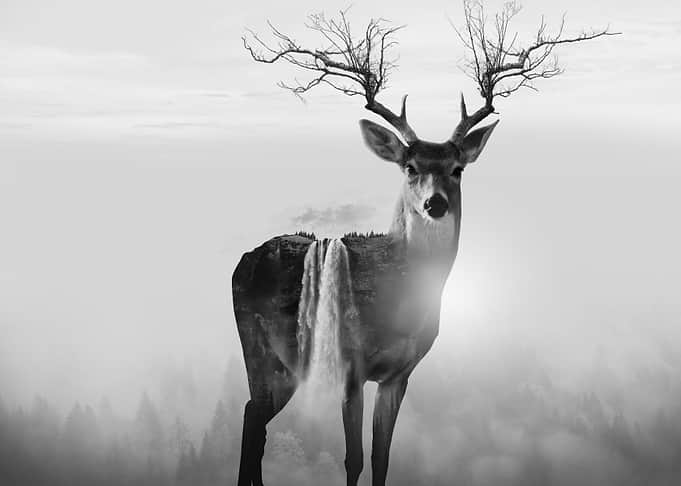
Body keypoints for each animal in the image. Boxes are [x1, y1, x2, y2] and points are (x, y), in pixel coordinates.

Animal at [234, 3, 618, 485]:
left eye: (457, 168)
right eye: (410, 166)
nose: (435, 203)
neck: (400, 302)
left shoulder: (401, 373)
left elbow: (382, 455)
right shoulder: (350, 364)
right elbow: (353, 457)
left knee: (255, 419)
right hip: (259, 347)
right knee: (252, 416)